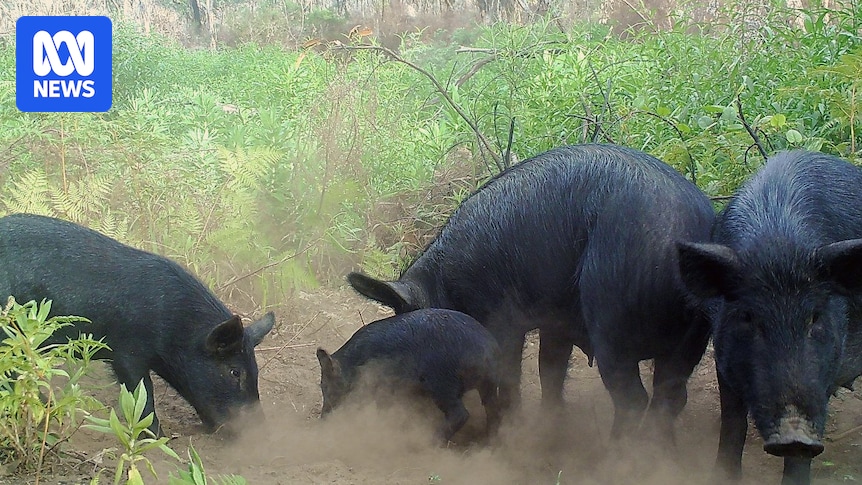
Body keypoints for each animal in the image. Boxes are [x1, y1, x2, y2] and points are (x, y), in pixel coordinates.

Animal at [0, 213, 275, 436]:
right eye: (235, 371)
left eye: (256, 369)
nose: (260, 430)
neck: (174, 328)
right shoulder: (126, 351)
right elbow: (142, 393)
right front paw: (159, 437)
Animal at [316, 308, 501, 442]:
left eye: (325, 386)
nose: (323, 418)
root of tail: (487, 351)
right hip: (488, 385)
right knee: (492, 410)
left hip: (442, 382)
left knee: (460, 414)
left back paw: (430, 442)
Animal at [348, 143, 715, 439]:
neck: (447, 286)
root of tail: (684, 235)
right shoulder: (557, 322)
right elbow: (549, 371)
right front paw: (547, 425)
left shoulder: (503, 319)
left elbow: (510, 374)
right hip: (691, 340)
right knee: (671, 398)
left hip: (612, 318)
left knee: (633, 398)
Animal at [678, 150, 862, 484]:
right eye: (748, 317)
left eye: (815, 317)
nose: (793, 432)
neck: (778, 244)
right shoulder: (723, 358)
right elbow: (733, 423)